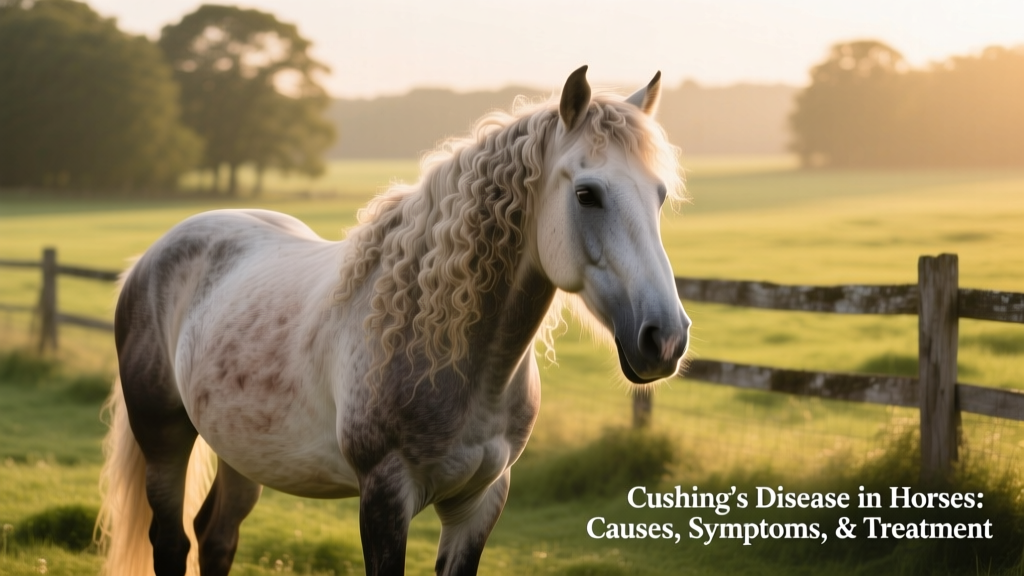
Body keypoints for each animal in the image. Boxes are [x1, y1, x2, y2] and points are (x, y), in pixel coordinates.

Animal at [97, 65, 690, 576]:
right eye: (587, 194)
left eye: (660, 196)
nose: (664, 339)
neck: (448, 357)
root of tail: (153, 255)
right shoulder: (385, 497)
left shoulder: (480, 502)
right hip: (164, 439)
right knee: (172, 542)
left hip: (243, 452)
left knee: (215, 536)